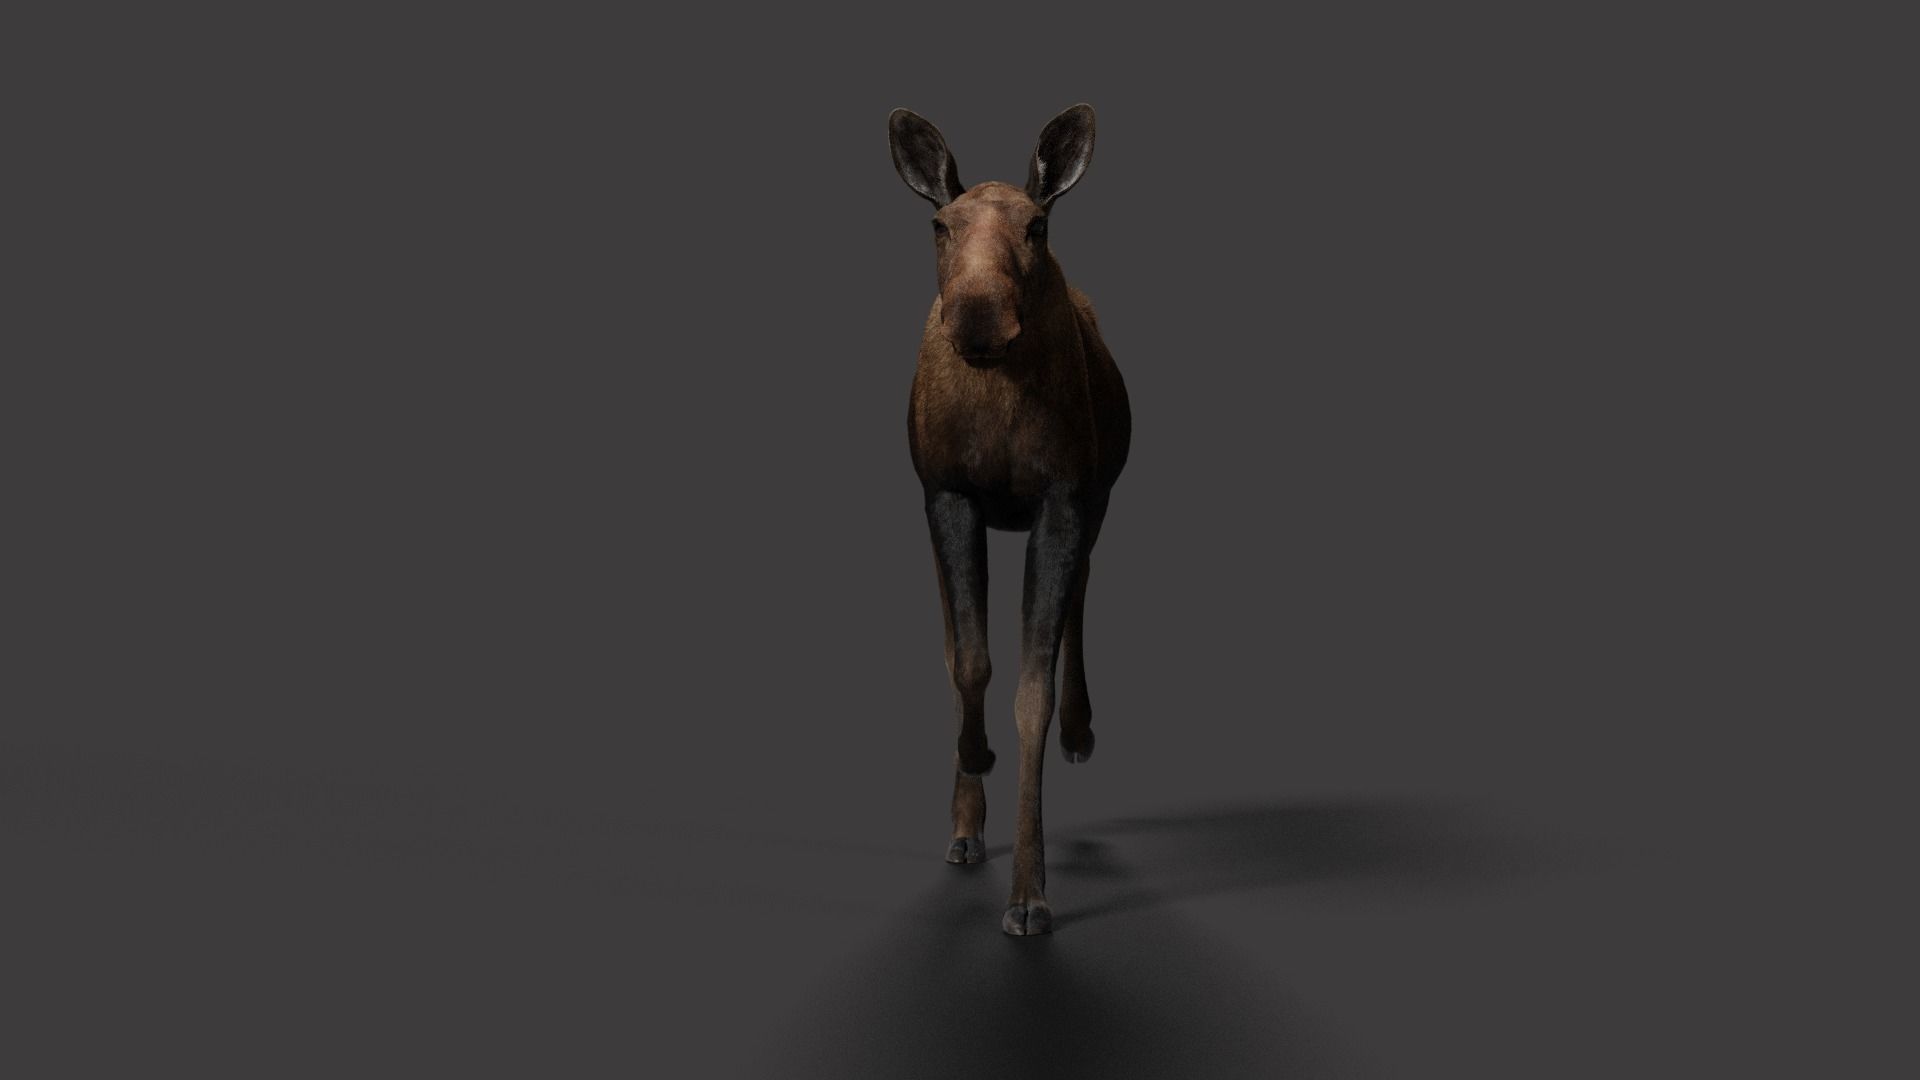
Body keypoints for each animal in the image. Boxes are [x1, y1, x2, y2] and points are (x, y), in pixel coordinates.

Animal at [887, 103, 1131, 935]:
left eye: (1037, 225)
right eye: (940, 224)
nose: (979, 318)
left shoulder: (1064, 499)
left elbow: (1033, 689)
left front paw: (1030, 893)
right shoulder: (947, 494)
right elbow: (969, 660)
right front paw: (970, 790)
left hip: (1099, 498)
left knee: (1083, 590)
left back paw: (1084, 729)